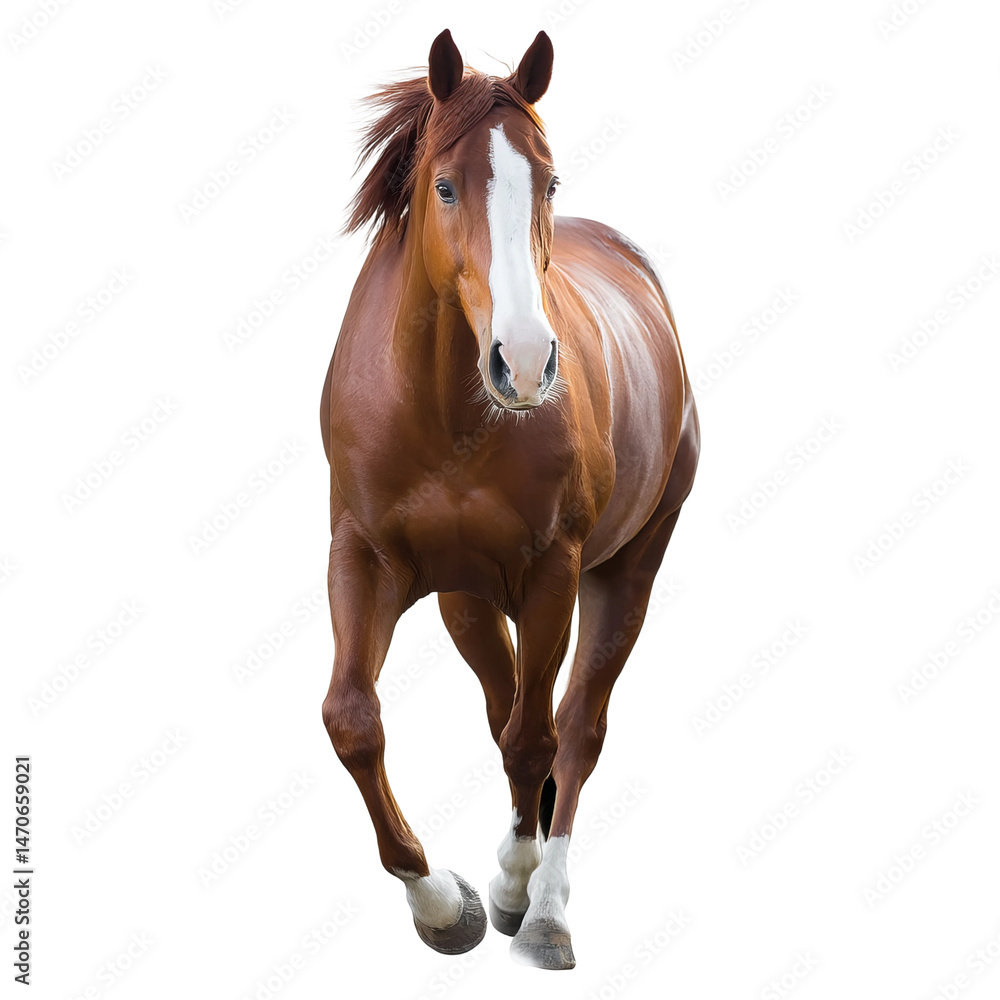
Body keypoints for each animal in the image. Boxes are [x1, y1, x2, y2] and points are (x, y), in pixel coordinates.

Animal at [319, 28, 699, 970]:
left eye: (549, 181)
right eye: (445, 186)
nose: (524, 364)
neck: (444, 415)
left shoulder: (552, 573)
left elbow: (539, 738)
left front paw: (514, 883)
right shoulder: (363, 557)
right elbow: (354, 719)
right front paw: (438, 904)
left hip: (628, 570)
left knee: (577, 725)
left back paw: (548, 907)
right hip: (466, 598)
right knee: (504, 710)